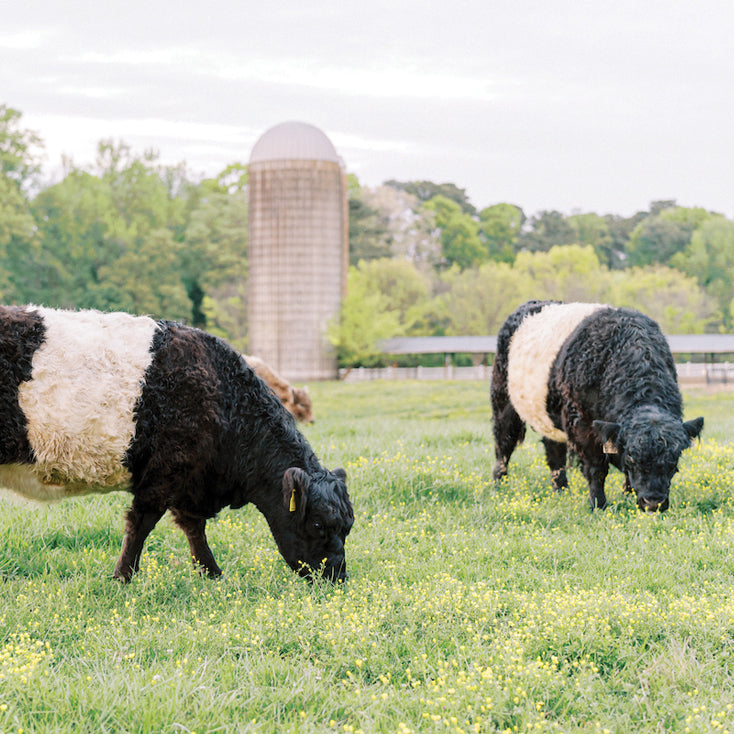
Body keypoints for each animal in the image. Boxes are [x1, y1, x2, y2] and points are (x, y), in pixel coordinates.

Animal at [0, 305, 353, 581]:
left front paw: (212, 575)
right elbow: (141, 525)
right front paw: (123, 577)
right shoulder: (165, 474)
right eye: (318, 523)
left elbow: (193, 529)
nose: (336, 576)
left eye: (348, 527)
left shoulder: (189, 484)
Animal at [491, 300, 703, 512]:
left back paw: (561, 492)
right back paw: (498, 487)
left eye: (674, 459)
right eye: (632, 458)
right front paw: (598, 505)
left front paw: (628, 498)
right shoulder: (583, 425)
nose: (653, 503)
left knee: (554, 454)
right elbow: (596, 468)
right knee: (504, 446)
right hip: (503, 403)